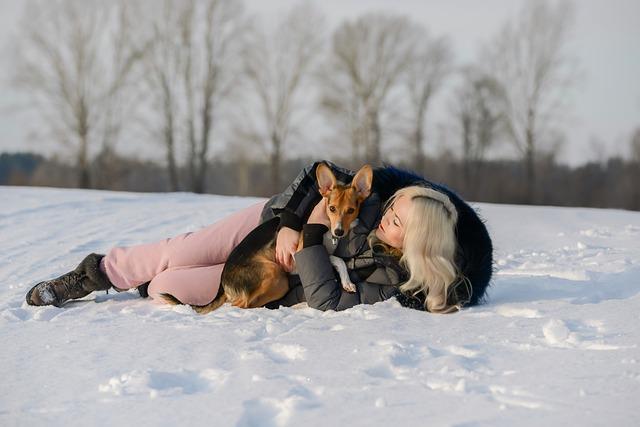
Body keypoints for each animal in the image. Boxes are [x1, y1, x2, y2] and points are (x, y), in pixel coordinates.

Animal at [159, 164, 372, 314]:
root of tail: (223, 280)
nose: (339, 232)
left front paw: (346, 282)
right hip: (276, 274)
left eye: (351, 210)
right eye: (332, 208)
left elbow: (339, 260)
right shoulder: (298, 252)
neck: (328, 229)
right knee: (241, 304)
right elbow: (336, 259)